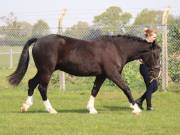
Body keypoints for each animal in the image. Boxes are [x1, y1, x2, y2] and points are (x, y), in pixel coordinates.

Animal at [8, 33, 160, 114]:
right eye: (155, 54)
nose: (157, 72)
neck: (116, 49)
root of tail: (38, 40)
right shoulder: (112, 74)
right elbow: (126, 88)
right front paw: (135, 108)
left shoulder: (102, 75)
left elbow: (95, 90)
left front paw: (91, 109)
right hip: (47, 71)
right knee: (41, 87)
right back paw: (51, 109)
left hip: (42, 71)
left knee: (32, 83)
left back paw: (25, 106)